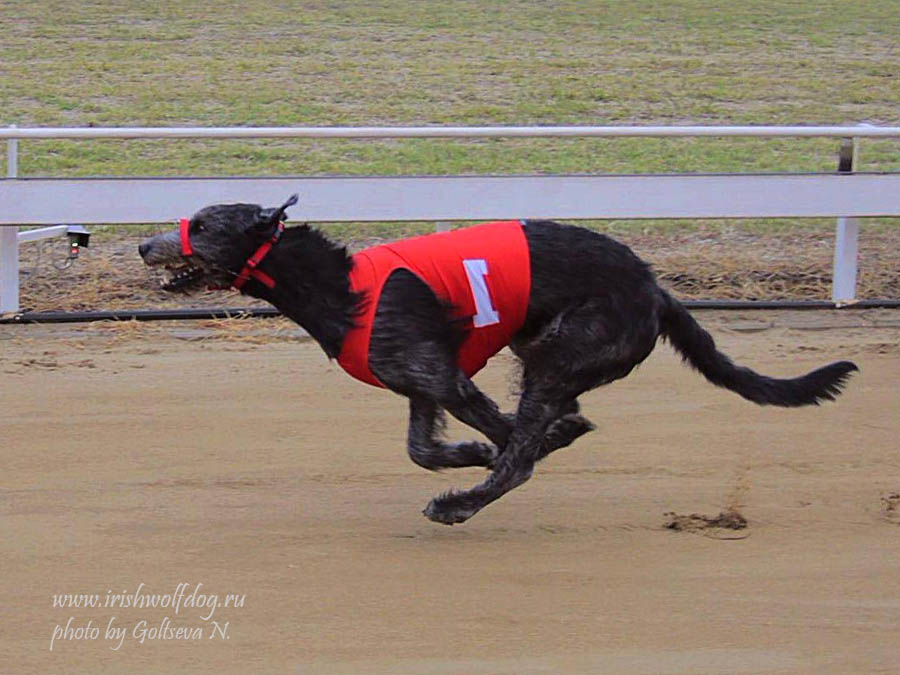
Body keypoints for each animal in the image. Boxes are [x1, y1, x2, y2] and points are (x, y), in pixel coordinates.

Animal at [139, 195, 856, 528]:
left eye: (205, 224)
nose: (145, 244)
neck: (341, 288)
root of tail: (657, 289)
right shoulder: (422, 382)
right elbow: (424, 448)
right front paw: (470, 453)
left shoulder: (446, 377)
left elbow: (514, 445)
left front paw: (489, 459)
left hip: (557, 350)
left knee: (528, 452)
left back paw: (460, 506)